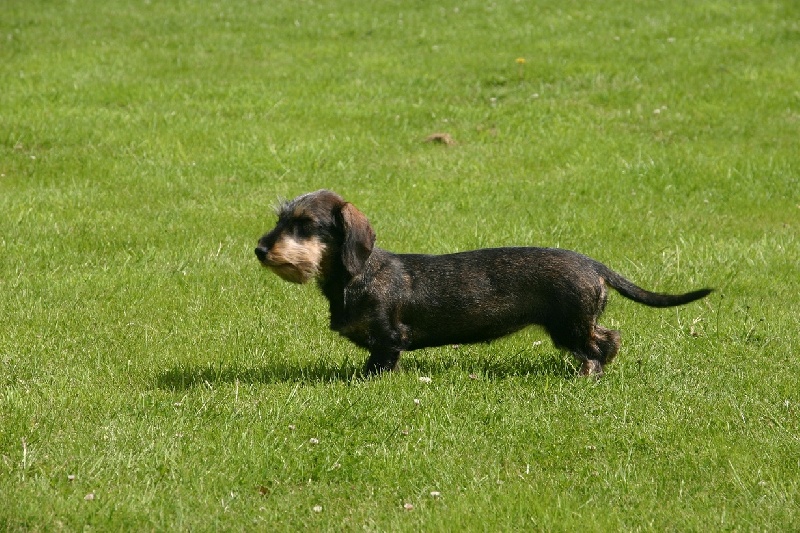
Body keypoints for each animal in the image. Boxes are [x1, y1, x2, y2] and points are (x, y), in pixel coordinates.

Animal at [256, 189, 712, 376]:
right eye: (281, 219)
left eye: (305, 224)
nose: (260, 249)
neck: (358, 275)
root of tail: (592, 264)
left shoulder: (388, 338)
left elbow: (380, 363)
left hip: (570, 325)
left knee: (604, 342)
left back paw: (589, 371)